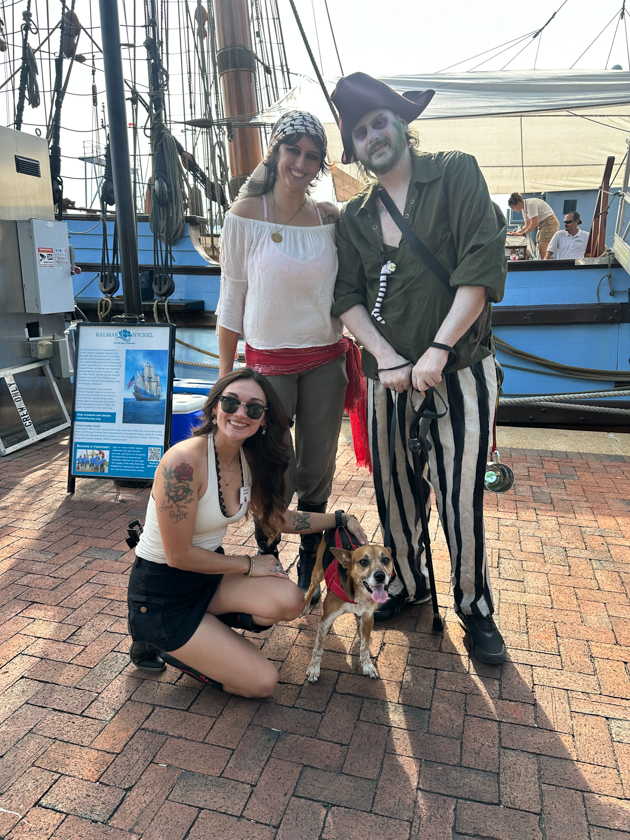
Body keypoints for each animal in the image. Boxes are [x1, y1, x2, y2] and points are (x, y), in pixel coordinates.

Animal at [304, 527, 395, 682]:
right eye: (363, 561)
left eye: (386, 560)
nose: (380, 576)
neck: (358, 596)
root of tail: (339, 526)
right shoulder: (326, 620)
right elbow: (318, 647)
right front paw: (313, 669)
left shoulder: (368, 618)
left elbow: (364, 646)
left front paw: (368, 666)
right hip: (318, 572)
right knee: (311, 586)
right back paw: (305, 604)